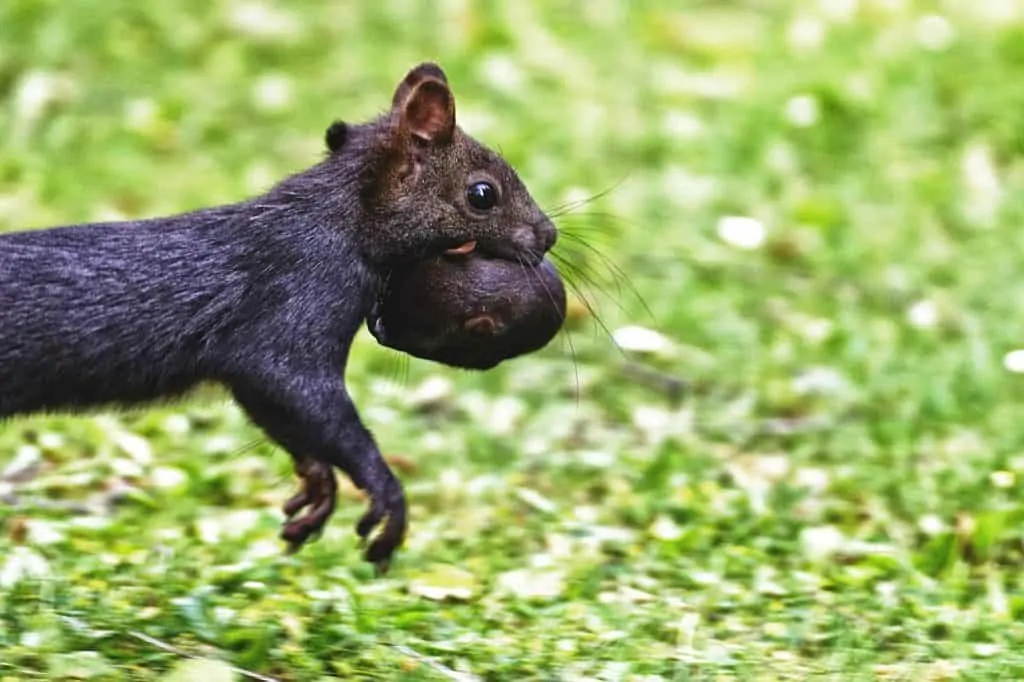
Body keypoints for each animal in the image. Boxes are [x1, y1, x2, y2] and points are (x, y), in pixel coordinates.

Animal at [0, 61, 561, 569]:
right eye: (483, 192)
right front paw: (384, 498)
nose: (549, 234)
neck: (330, 221)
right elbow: (304, 394)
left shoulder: (248, 364)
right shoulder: (294, 310)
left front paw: (316, 490)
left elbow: (278, 412)